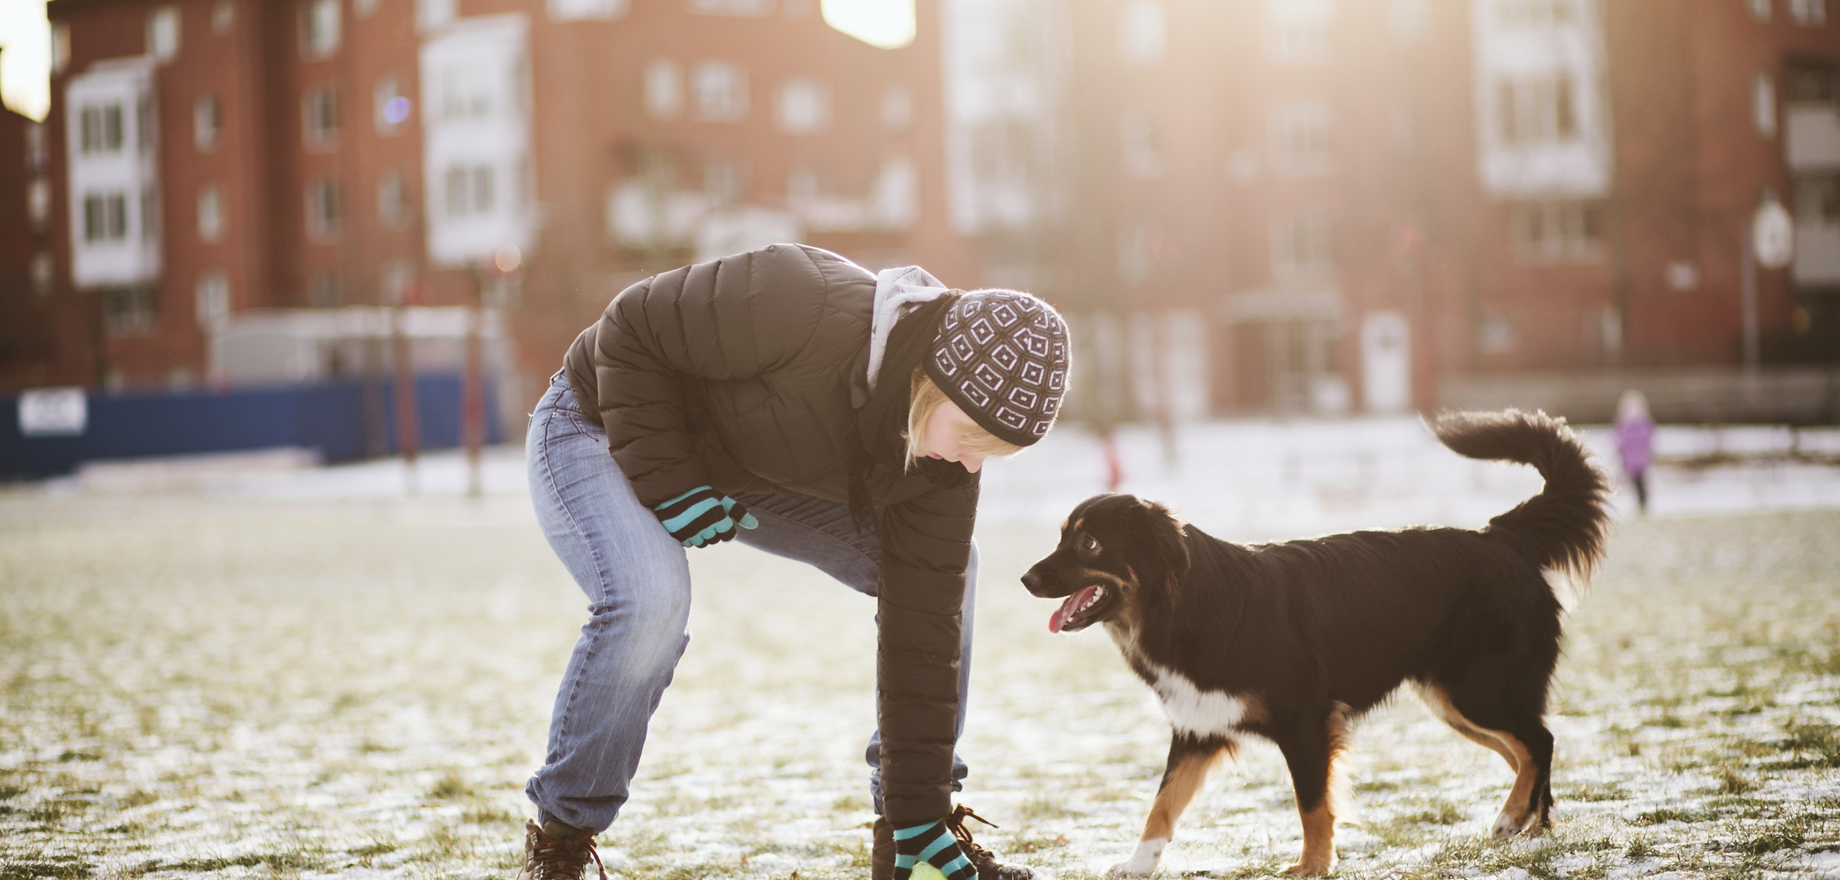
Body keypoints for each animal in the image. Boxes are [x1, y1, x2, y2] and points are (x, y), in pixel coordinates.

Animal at [1023, 410, 1611, 872]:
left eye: (1089, 542)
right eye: (1061, 536)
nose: (1026, 578)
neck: (1186, 604)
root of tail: (1503, 536)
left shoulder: (1304, 722)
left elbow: (1311, 805)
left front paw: (1312, 865)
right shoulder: (1198, 727)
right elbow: (1161, 806)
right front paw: (1138, 864)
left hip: (1474, 690)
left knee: (1540, 741)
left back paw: (1514, 816)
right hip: (1454, 701)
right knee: (1526, 748)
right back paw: (1529, 824)